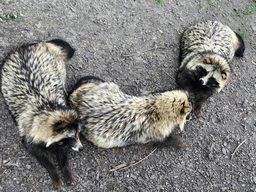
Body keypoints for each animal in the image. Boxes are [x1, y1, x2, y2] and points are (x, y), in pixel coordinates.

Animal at [1, 39, 83, 189]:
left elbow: (63, 156)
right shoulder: (30, 137)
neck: (46, 108)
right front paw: (55, 174)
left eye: (77, 134)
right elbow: (43, 158)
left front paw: (66, 171)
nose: (81, 148)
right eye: (70, 137)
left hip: (57, 68)